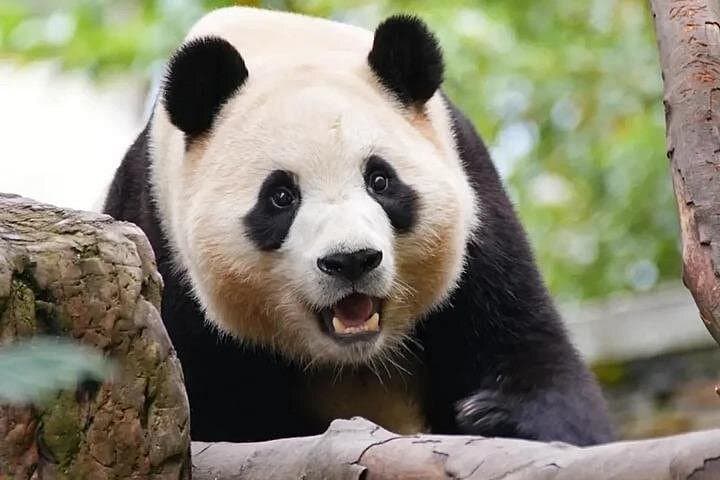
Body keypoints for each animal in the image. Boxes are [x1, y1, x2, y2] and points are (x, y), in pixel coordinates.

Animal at [104, 7, 614, 445]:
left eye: (380, 180)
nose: (351, 260)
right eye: (281, 197)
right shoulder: (162, 246)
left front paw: (494, 416)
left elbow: (531, 348)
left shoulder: (478, 216)